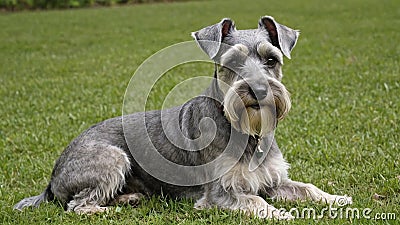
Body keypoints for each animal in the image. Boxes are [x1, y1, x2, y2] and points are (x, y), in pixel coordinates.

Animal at [14, 16, 352, 220]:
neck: (244, 131)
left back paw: (128, 198)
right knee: (77, 205)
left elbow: (307, 188)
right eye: (231, 63)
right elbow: (256, 202)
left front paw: (337, 198)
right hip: (113, 157)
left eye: (272, 60)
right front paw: (282, 215)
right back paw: (109, 211)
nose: (258, 91)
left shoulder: (273, 180)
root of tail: (52, 178)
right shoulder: (221, 193)